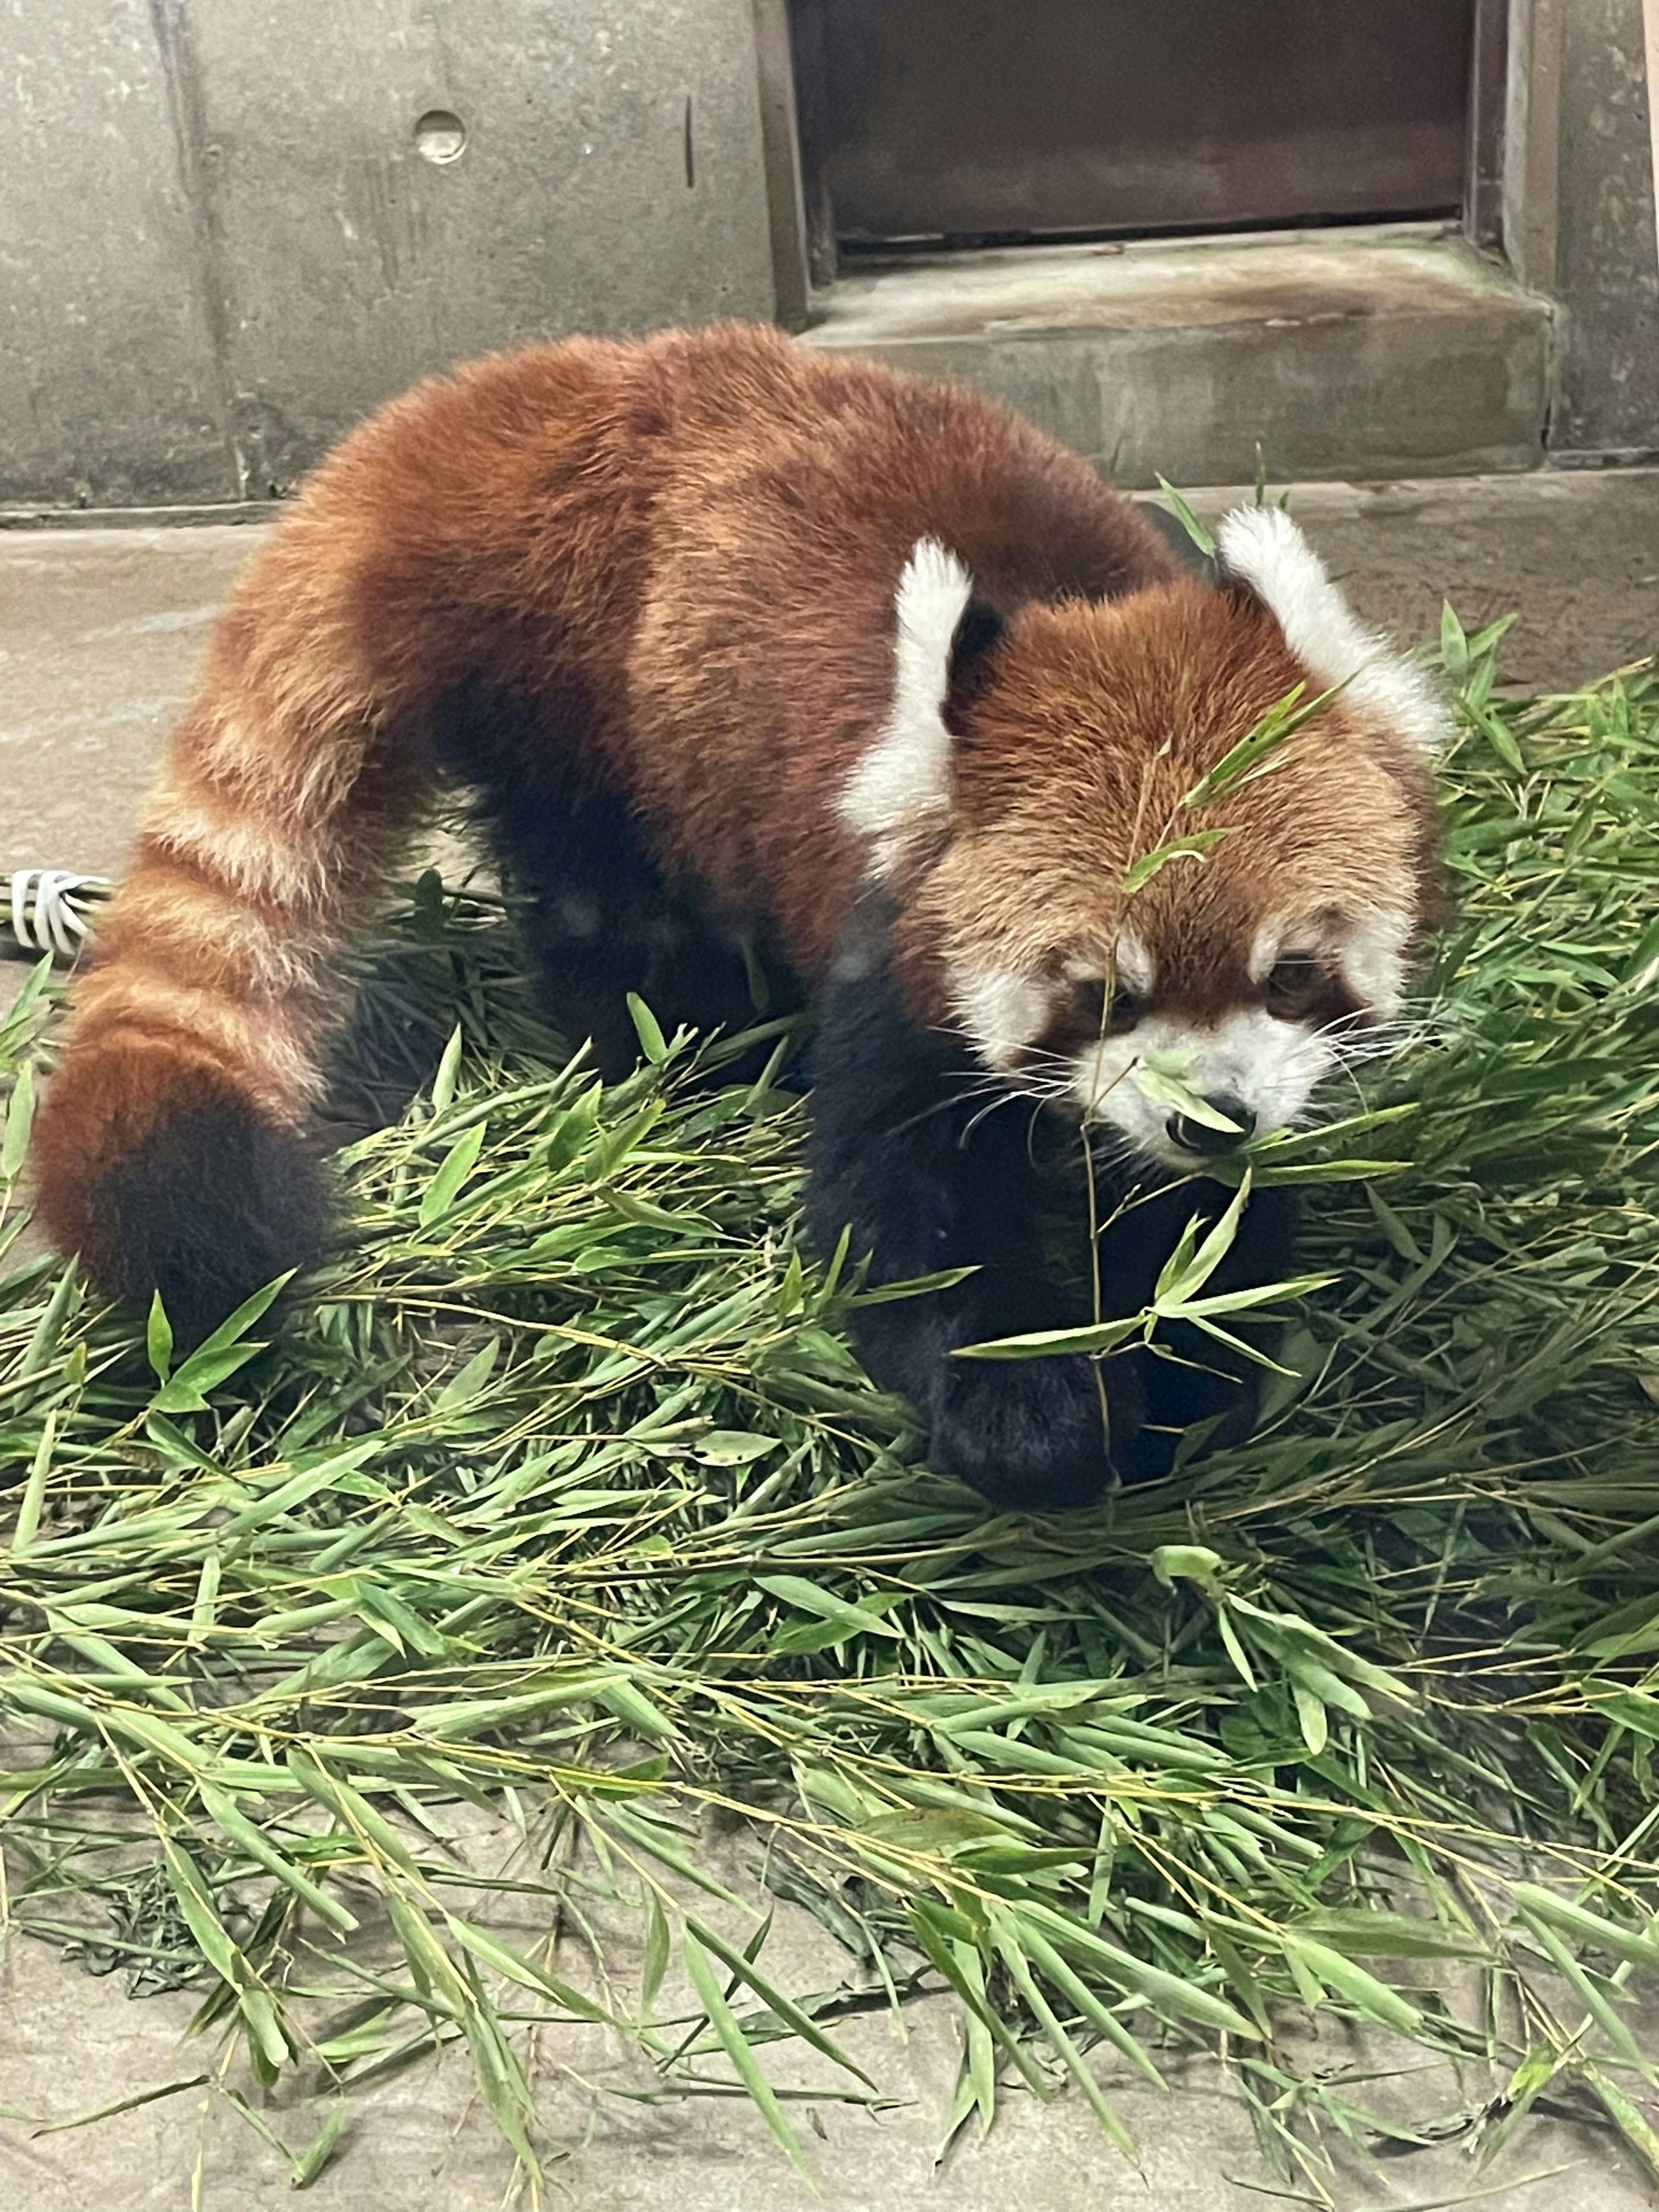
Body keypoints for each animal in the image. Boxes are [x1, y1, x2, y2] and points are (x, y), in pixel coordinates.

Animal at [26, 321, 1442, 1513]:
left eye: (1288, 972)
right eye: (1101, 992)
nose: (1211, 1115)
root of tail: (501, 408)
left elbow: (1214, 1222)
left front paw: (1186, 1355)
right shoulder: (894, 949)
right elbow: (902, 1221)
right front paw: (1031, 1413)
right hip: (565, 696)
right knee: (603, 907)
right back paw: (687, 1048)